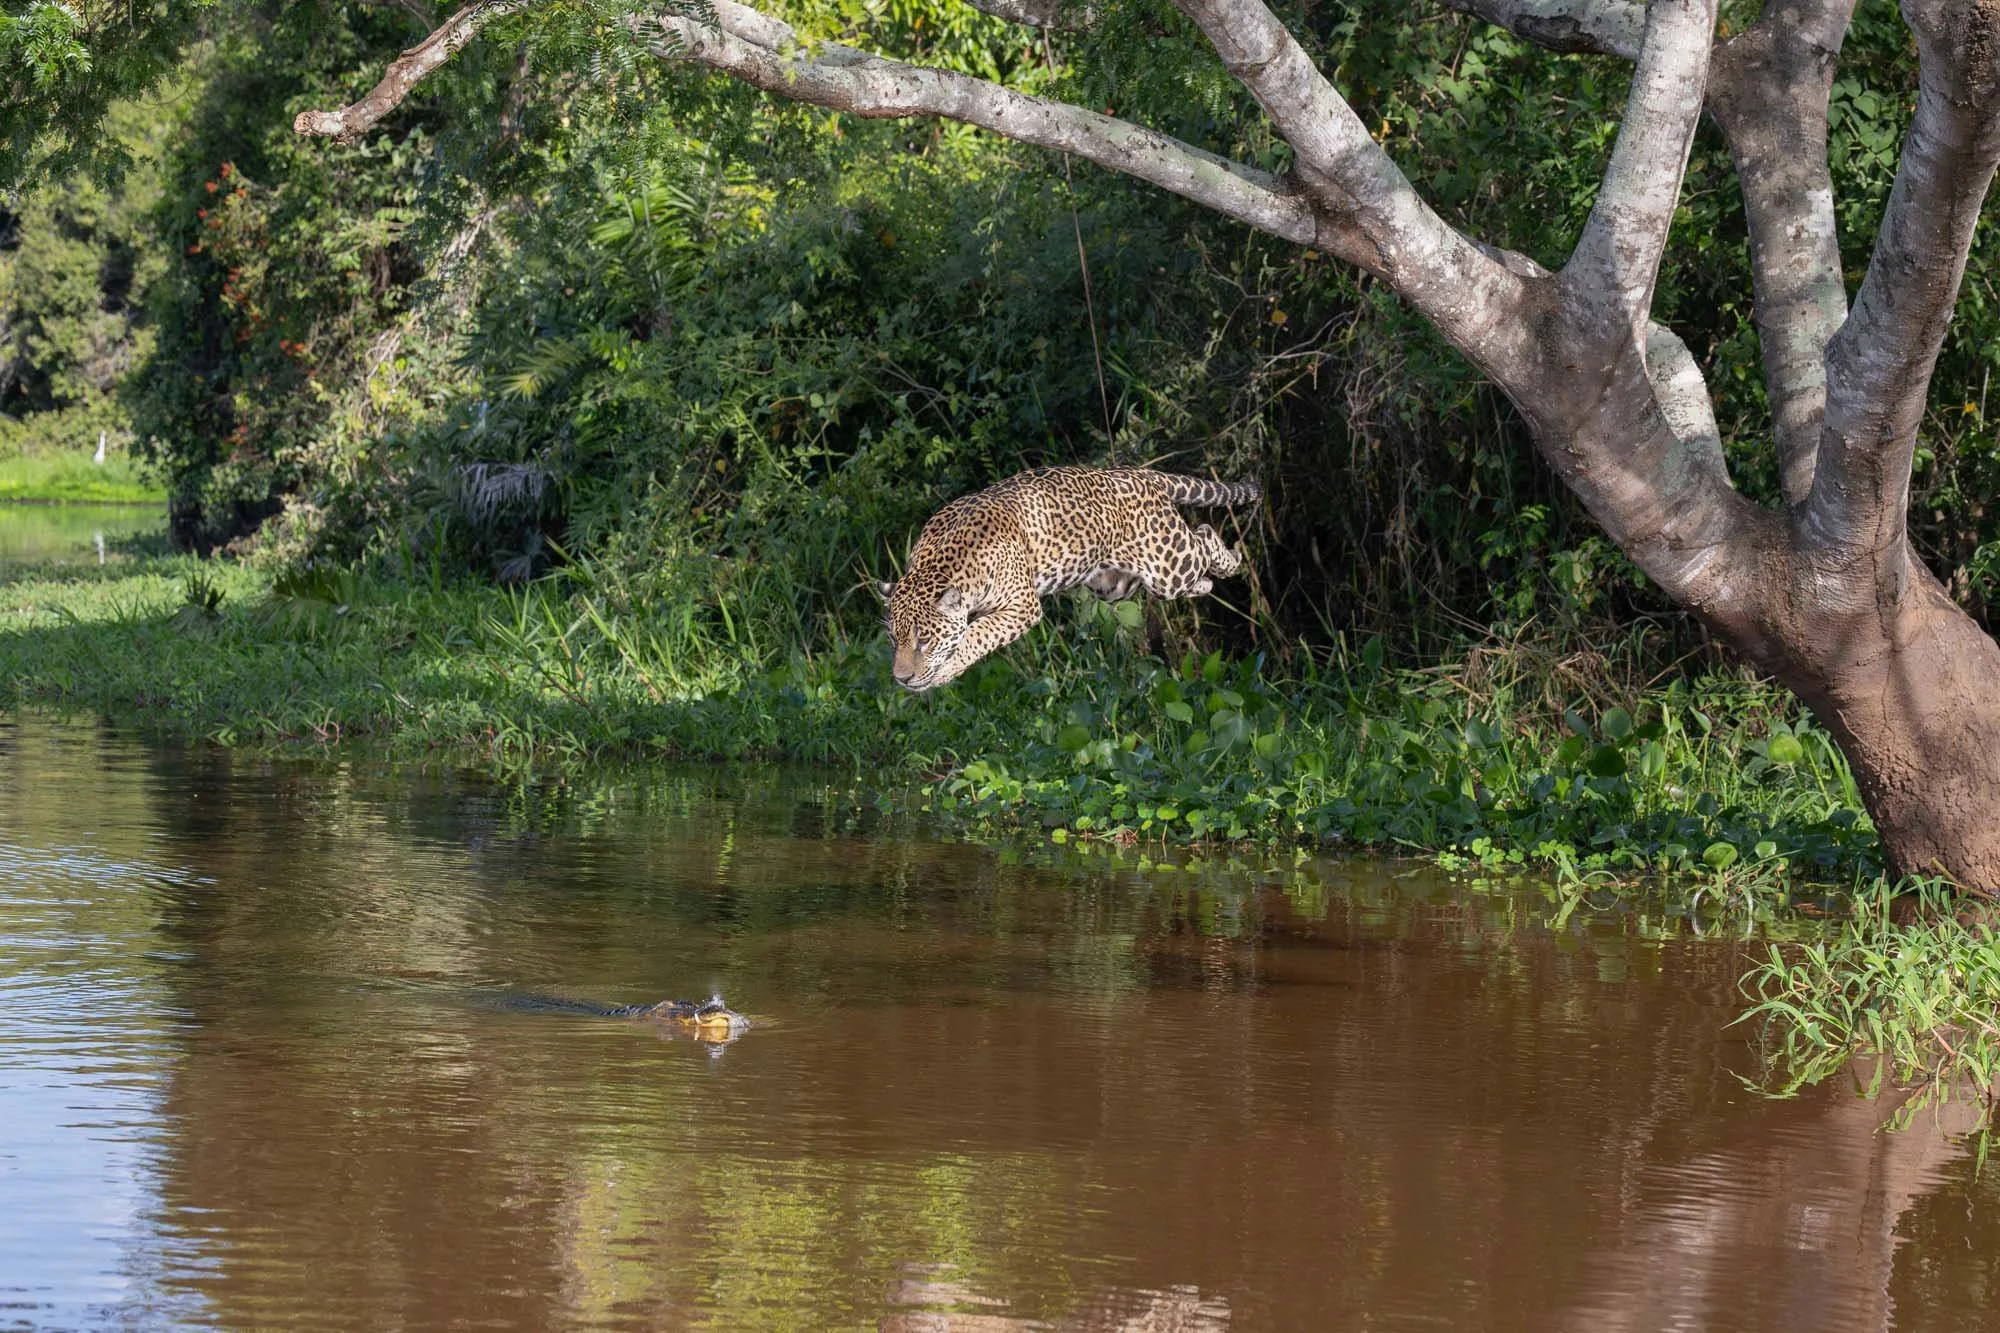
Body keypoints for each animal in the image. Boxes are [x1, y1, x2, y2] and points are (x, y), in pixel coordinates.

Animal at [878, 465, 1259, 691]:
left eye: (924, 640)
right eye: (893, 640)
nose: (901, 679)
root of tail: (1140, 473)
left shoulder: (1021, 607)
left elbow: (977, 634)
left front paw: (945, 669)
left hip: (1169, 563)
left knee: (1205, 534)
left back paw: (1234, 560)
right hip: (1116, 586)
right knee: (1188, 571)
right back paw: (1207, 583)